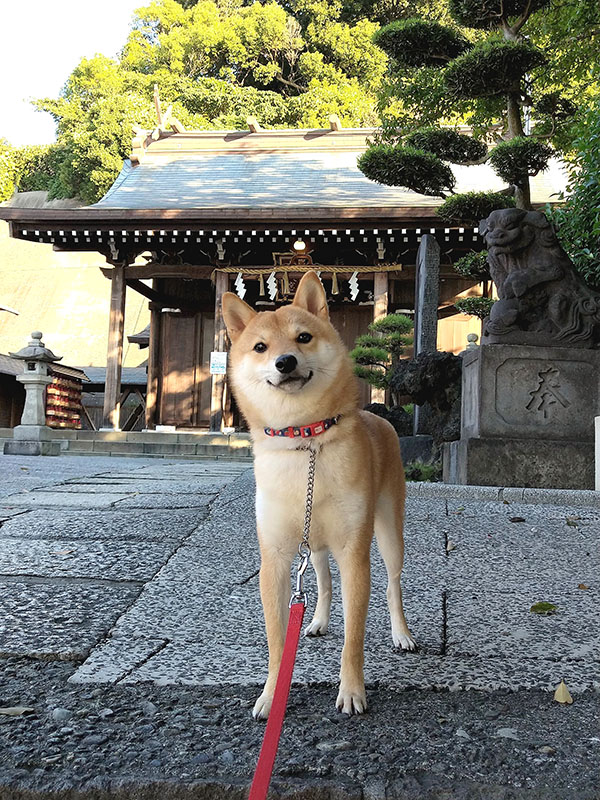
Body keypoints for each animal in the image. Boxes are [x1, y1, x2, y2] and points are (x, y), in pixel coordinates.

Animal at [223, 270, 414, 720]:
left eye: (304, 338)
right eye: (260, 347)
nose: (285, 361)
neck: (304, 438)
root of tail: (380, 420)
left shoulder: (354, 553)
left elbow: (354, 637)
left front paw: (352, 691)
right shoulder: (275, 558)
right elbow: (277, 642)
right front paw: (272, 695)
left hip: (387, 531)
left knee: (393, 584)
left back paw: (401, 633)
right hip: (314, 545)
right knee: (324, 583)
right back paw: (318, 621)